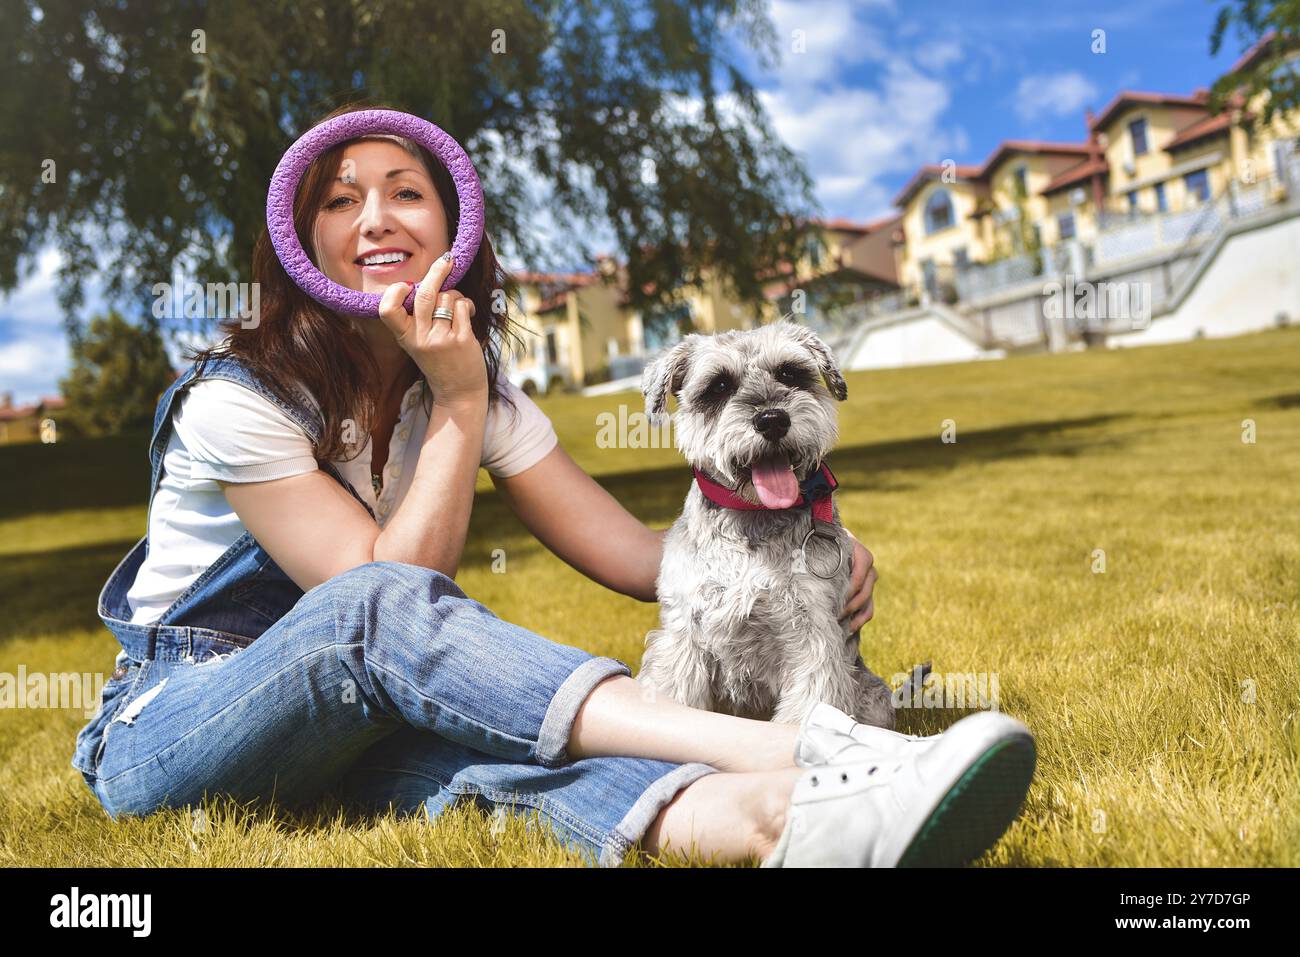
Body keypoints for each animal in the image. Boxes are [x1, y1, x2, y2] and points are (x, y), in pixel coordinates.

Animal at [634, 317, 899, 728]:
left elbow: (807, 708)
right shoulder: (683, 635)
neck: (752, 520)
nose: (772, 419)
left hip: (873, 697)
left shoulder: (812, 633)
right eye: (719, 386)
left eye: (789, 372)